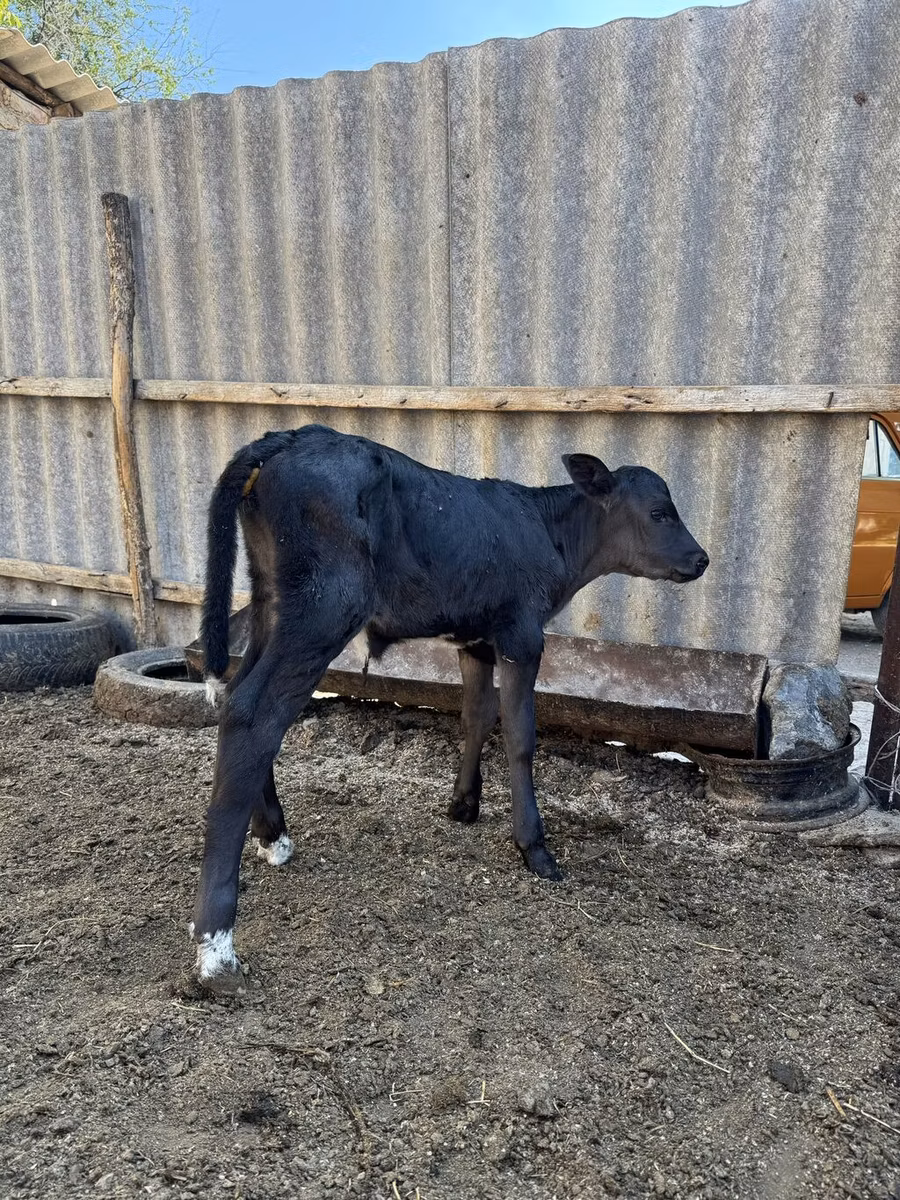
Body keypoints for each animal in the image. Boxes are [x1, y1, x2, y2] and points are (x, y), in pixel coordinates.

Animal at [191, 423, 708, 991]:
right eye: (660, 512)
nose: (702, 559)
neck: (548, 532)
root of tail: (290, 435)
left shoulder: (475, 639)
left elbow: (476, 715)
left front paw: (463, 804)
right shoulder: (522, 633)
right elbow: (521, 735)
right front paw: (534, 847)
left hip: (272, 600)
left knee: (242, 697)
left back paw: (274, 836)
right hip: (326, 605)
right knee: (255, 715)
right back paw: (216, 947)